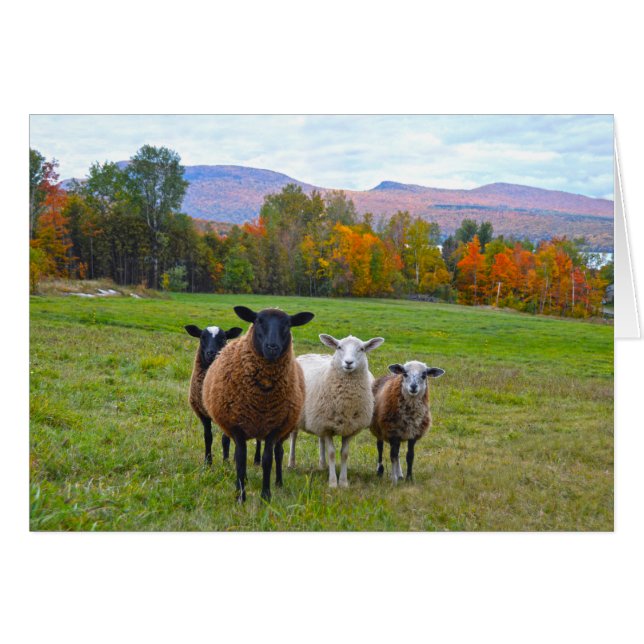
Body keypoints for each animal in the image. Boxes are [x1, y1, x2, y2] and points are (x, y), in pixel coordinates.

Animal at [184, 323, 242, 464]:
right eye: (202, 337)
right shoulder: (202, 413)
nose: (211, 353)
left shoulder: (226, 413)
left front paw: (226, 462)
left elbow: (225, 439)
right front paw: (207, 462)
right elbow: (208, 437)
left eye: (223, 338)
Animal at [202, 305, 314, 502]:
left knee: (279, 453)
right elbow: (240, 459)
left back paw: (279, 483)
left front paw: (266, 495)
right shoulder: (237, 426)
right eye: (258, 321)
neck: (262, 398)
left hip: (284, 428)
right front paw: (240, 495)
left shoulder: (274, 428)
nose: (272, 347)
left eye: (288, 324)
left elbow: (268, 459)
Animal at [289, 334, 384, 488]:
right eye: (339, 347)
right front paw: (333, 483)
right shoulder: (327, 426)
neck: (346, 402)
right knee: (294, 436)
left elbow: (344, 453)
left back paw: (322, 465)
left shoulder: (348, 427)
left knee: (320, 438)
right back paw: (291, 464)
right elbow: (332, 453)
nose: (348, 362)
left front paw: (343, 482)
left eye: (362, 349)